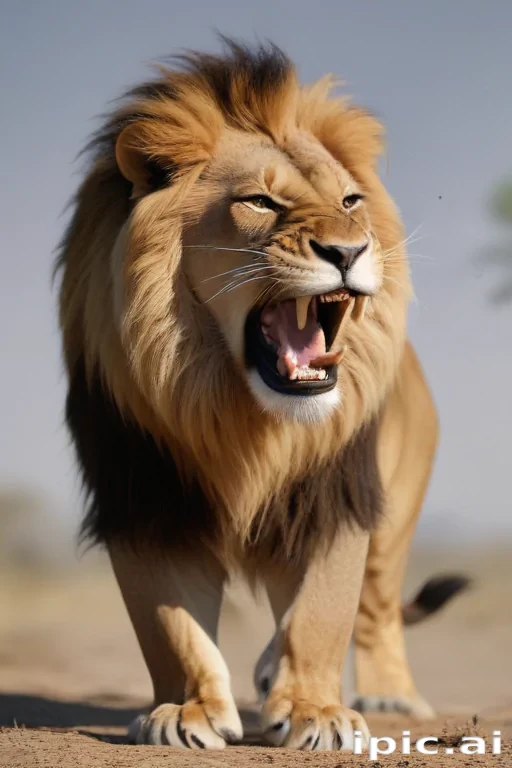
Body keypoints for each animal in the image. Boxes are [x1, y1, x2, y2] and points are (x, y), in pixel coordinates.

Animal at [56, 40, 467, 751]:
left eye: (351, 200)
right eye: (261, 203)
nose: (349, 250)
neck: (241, 414)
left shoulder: (336, 494)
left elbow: (324, 612)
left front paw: (316, 712)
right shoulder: (142, 496)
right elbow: (171, 627)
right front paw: (186, 711)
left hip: (396, 511)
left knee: (377, 607)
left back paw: (385, 692)